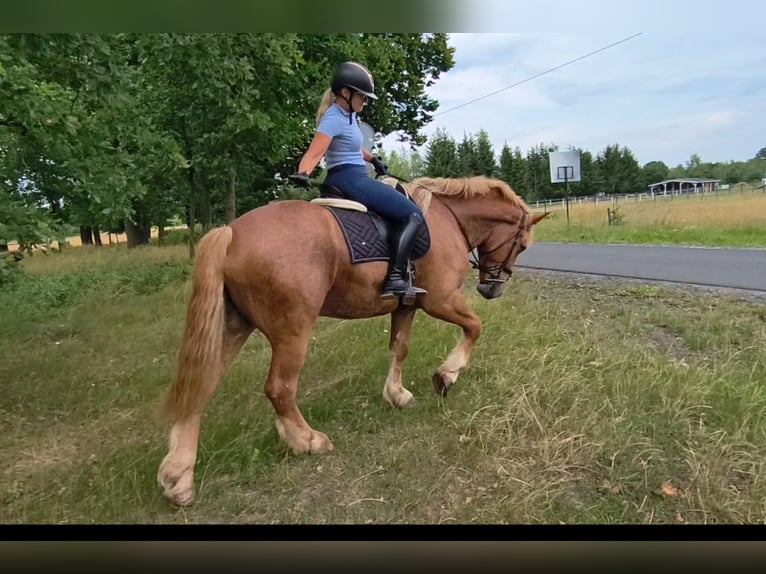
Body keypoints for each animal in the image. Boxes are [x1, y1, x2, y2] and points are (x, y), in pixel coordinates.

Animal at [157, 175, 548, 507]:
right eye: (522, 244)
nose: (492, 289)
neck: (446, 220)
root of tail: (231, 233)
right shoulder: (439, 300)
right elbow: (474, 327)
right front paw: (446, 375)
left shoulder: (407, 304)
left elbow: (400, 347)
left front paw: (397, 394)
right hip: (293, 329)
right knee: (279, 388)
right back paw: (307, 440)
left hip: (233, 326)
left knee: (200, 387)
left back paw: (179, 478)